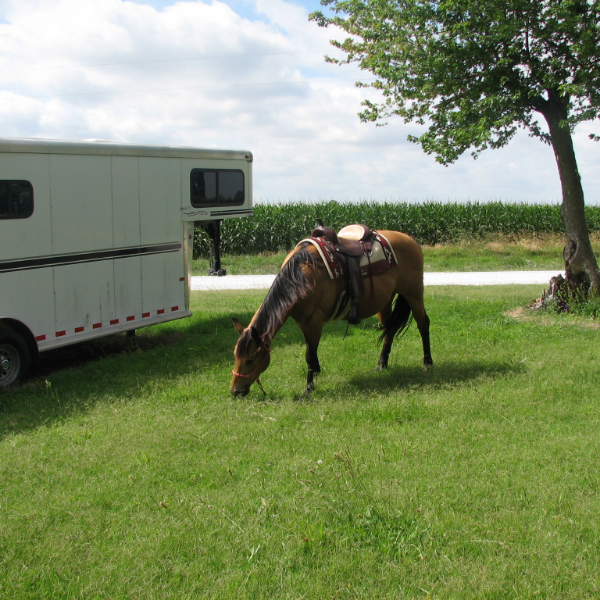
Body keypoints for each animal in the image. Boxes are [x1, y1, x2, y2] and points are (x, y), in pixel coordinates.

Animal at [230, 227, 432, 396]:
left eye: (250, 360)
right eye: (235, 356)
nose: (235, 391)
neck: (302, 274)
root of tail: (411, 240)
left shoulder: (315, 319)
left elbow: (309, 354)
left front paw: (308, 390)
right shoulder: (302, 321)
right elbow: (311, 352)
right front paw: (315, 375)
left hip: (413, 294)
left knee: (423, 324)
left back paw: (427, 363)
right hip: (385, 302)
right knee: (389, 328)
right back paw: (381, 364)